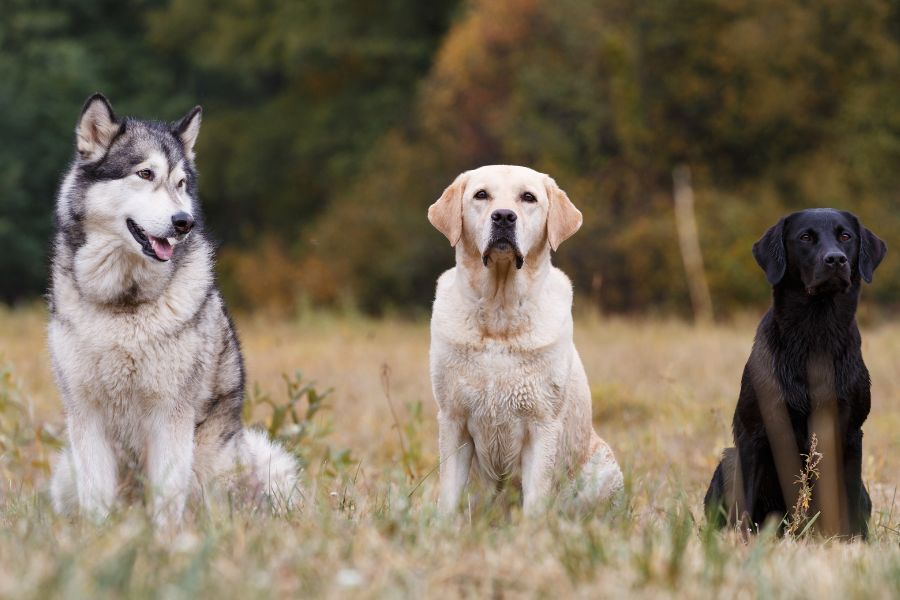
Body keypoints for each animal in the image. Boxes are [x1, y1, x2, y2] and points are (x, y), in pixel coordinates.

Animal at [426, 165, 624, 516]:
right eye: (481, 195)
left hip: (604, 468)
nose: (504, 217)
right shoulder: (453, 420)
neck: (499, 315)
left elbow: (536, 499)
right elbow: (449, 497)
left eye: (528, 197)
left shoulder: (542, 424)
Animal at [704, 209, 884, 536]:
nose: (836, 259)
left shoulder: (851, 432)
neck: (815, 335)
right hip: (728, 461)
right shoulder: (754, 433)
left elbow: (849, 502)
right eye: (805, 237)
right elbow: (745, 505)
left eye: (845, 236)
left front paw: (853, 541)